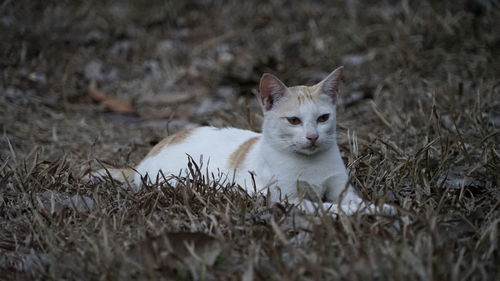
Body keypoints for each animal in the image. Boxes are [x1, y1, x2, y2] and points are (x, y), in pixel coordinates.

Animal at [91, 66, 394, 215]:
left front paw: (380, 208)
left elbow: (351, 201)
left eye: (322, 118)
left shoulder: (341, 188)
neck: (311, 165)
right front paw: (354, 213)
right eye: (294, 121)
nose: (312, 137)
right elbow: (328, 207)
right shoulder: (288, 199)